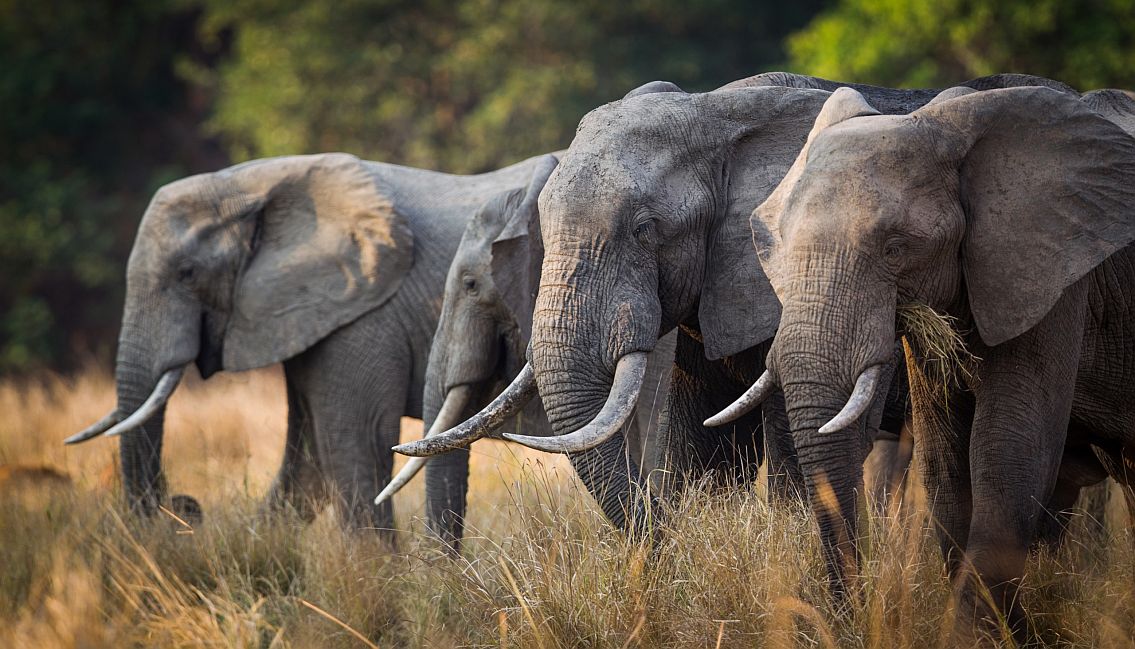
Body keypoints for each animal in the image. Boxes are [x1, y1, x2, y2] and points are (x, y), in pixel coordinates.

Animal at [64, 152, 567, 537]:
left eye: (187, 274)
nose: (187, 507)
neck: (251, 184)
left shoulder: (362, 315)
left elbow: (355, 438)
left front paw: (375, 580)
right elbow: (310, 460)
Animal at [735, 87, 1135, 644]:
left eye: (896, 248)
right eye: (776, 248)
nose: (847, 619)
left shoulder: (1054, 277)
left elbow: (1007, 447)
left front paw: (972, 638)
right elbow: (945, 457)